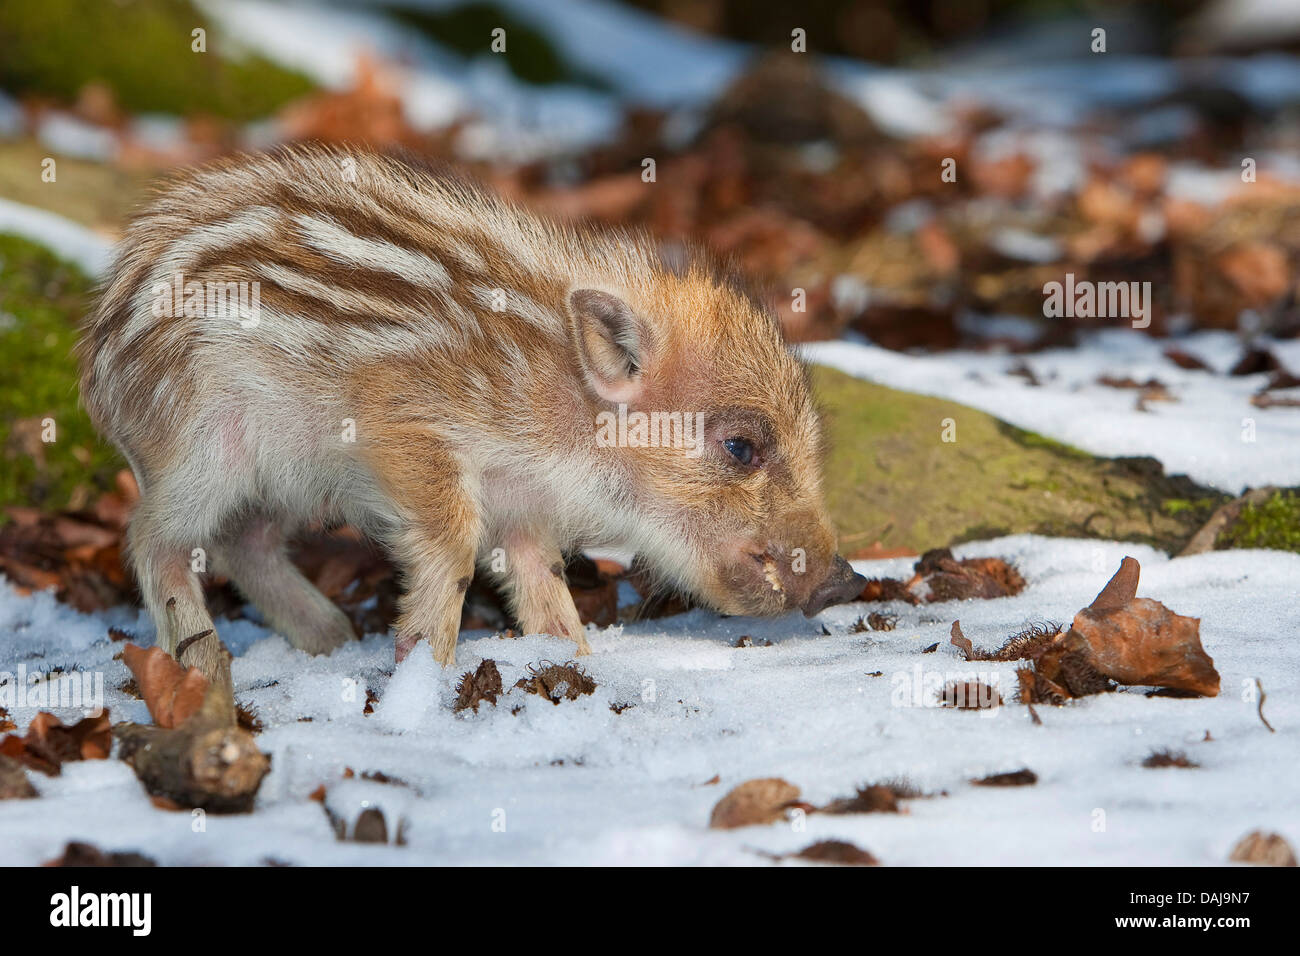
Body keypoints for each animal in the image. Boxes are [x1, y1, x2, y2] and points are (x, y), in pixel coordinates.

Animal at [78, 146, 865, 703]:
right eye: (741, 447)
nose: (847, 580)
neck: (564, 413)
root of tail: (98, 362)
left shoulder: (525, 512)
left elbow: (546, 594)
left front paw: (569, 665)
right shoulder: (400, 423)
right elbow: (455, 542)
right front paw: (423, 666)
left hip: (287, 478)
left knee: (244, 540)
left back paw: (332, 638)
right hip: (206, 443)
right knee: (152, 539)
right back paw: (208, 668)